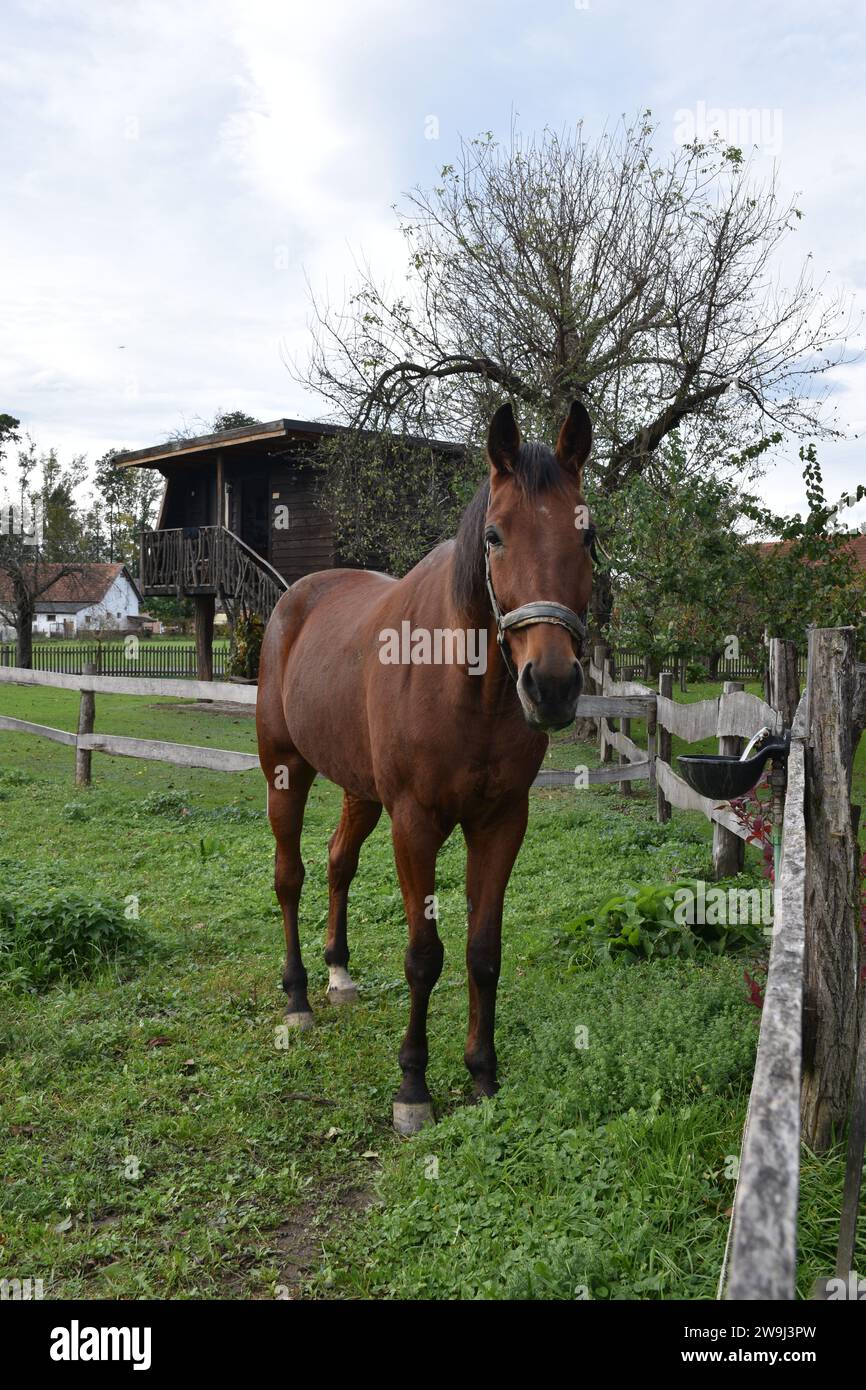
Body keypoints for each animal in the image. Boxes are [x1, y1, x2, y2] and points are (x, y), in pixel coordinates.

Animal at [256, 400, 595, 1134]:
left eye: (588, 536)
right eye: (494, 536)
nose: (552, 685)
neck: (465, 684)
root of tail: (296, 598)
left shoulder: (501, 822)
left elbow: (483, 952)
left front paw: (483, 1075)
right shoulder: (415, 824)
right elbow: (424, 956)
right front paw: (413, 1087)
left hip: (359, 789)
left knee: (338, 862)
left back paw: (339, 974)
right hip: (285, 773)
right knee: (291, 877)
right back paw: (298, 998)